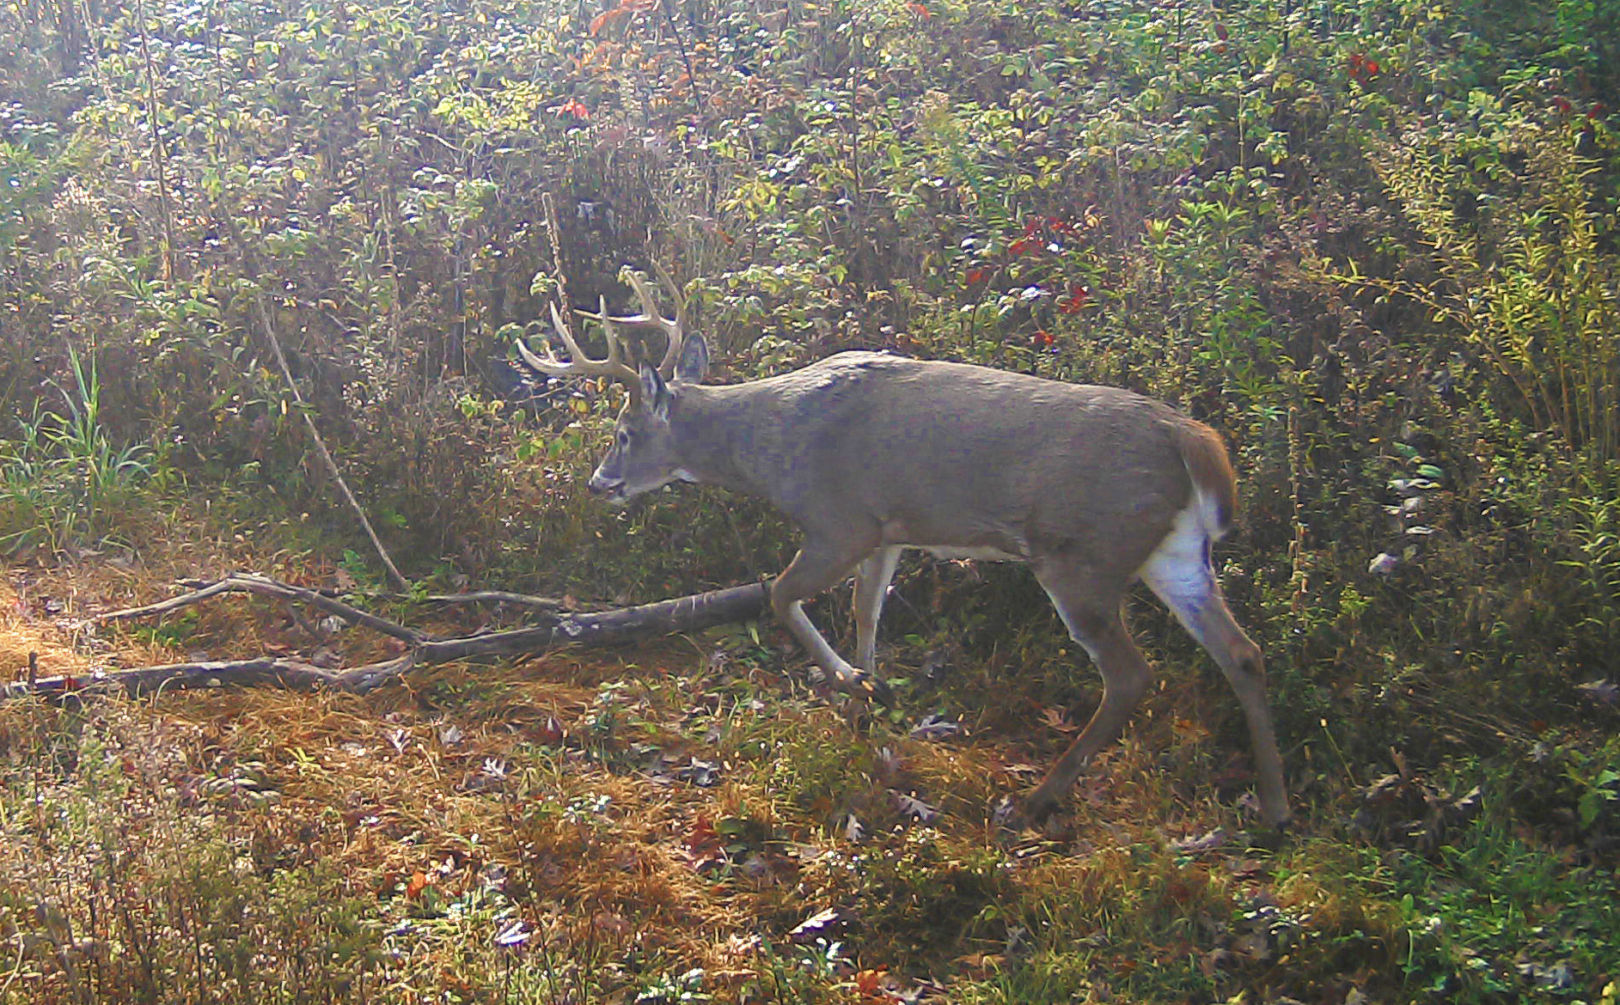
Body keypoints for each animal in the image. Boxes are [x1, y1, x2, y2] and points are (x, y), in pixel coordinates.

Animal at [518, 264, 1289, 823]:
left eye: (625, 434)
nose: (599, 483)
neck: (771, 448)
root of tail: (1194, 442)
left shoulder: (840, 518)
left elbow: (780, 594)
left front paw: (848, 682)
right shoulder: (891, 527)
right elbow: (868, 610)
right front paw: (869, 698)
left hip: (1084, 555)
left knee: (1131, 675)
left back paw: (1035, 800)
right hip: (1174, 553)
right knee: (1243, 652)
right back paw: (1275, 807)